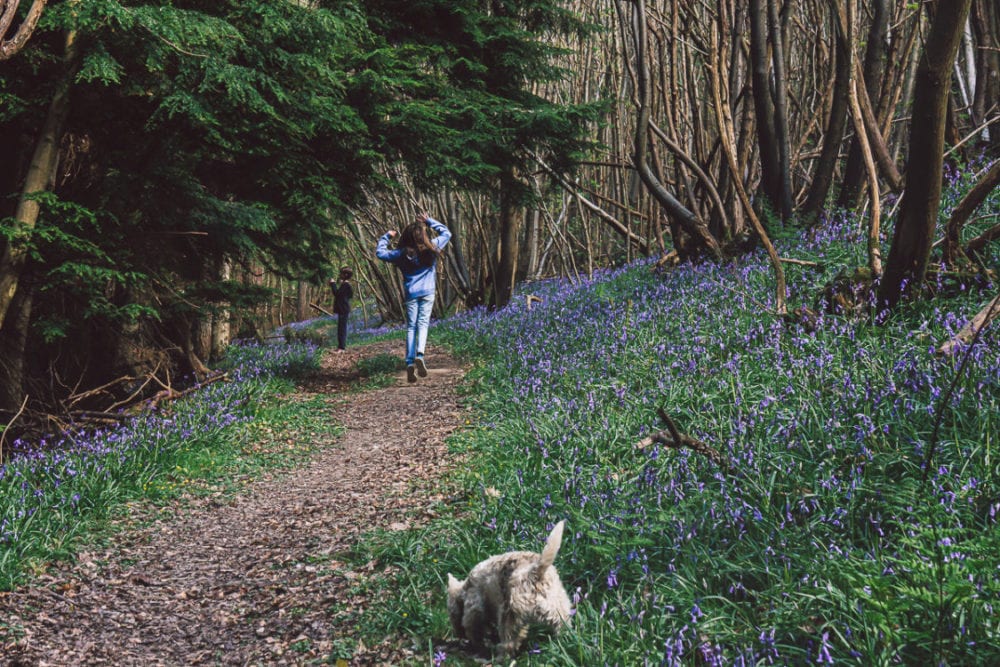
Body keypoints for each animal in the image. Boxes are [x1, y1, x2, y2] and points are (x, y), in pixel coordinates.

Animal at [446, 520, 572, 656]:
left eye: (451, 613)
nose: (457, 634)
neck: (464, 589)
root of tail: (535, 573)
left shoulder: (474, 608)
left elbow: (473, 628)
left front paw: (476, 643)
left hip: (510, 614)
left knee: (510, 641)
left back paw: (501, 655)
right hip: (559, 606)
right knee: (562, 625)